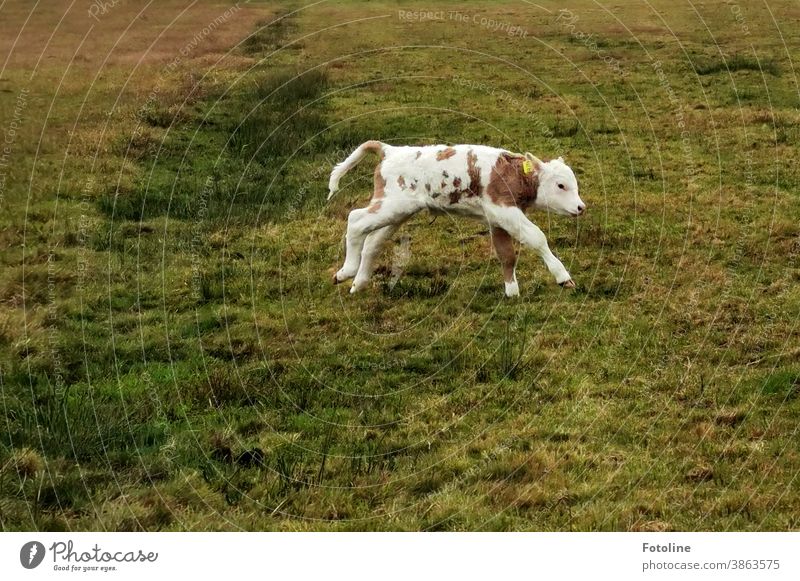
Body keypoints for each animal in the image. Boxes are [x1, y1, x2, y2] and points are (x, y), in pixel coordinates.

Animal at [328, 139, 584, 294]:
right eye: (561, 185)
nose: (581, 207)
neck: (511, 172)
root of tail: (390, 149)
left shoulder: (498, 218)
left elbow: (507, 255)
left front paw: (512, 292)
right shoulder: (504, 210)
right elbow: (537, 238)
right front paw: (563, 276)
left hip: (397, 212)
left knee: (372, 241)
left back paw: (358, 283)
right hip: (391, 206)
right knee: (355, 220)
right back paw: (346, 271)